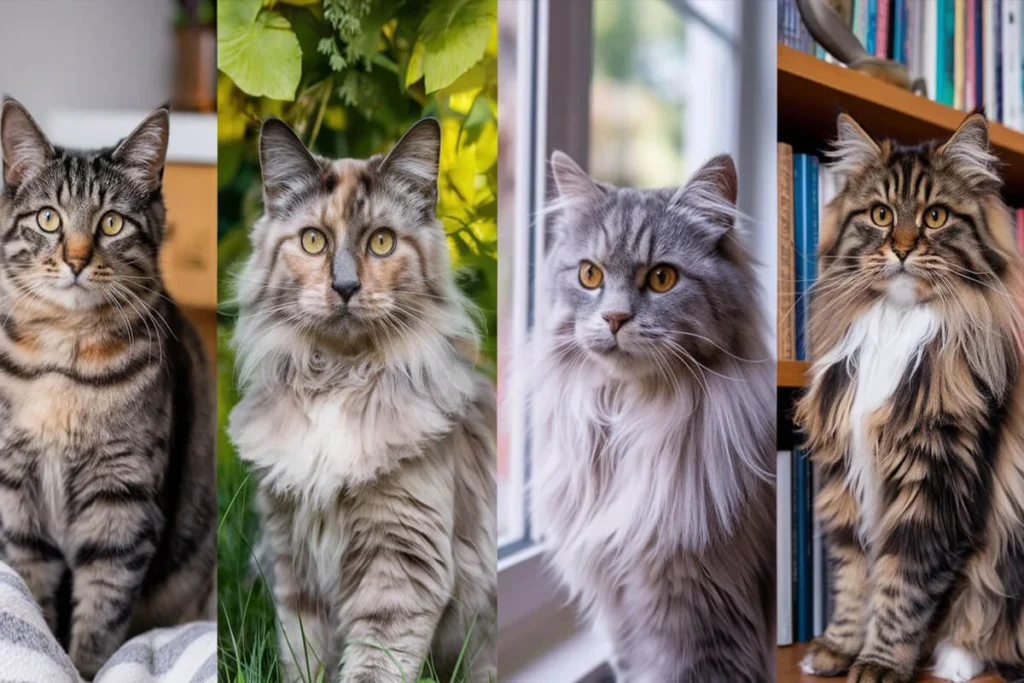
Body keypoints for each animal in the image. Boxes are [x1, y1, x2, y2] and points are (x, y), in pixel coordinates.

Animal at [0, 97, 214, 679]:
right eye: (48, 217)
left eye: (112, 223)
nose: (76, 260)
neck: (64, 361)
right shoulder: (18, 497)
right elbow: (34, 592)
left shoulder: (121, 500)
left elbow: (101, 612)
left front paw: (83, 666)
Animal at [227, 117, 495, 683]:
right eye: (313, 241)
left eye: (381, 242)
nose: (346, 286)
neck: (339, 381)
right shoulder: (293, 566)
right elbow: (302, 659)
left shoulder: (400, 569)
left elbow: (371, 666)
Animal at [528, 152, 774, 683]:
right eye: (589, 275)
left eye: (662, 278)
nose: (615, 319)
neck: (632, 415)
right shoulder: (622, 620)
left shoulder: (700, 626)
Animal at [794, 113, 1024, 683]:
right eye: (880, 214)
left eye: (935, 217)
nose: (900, 247)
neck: (895, 324)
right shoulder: (844, 482)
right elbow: (853, 579)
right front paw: (837, 650)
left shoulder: (938, 486)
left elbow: (905, 591)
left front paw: (880, 663)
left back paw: (959, 658)